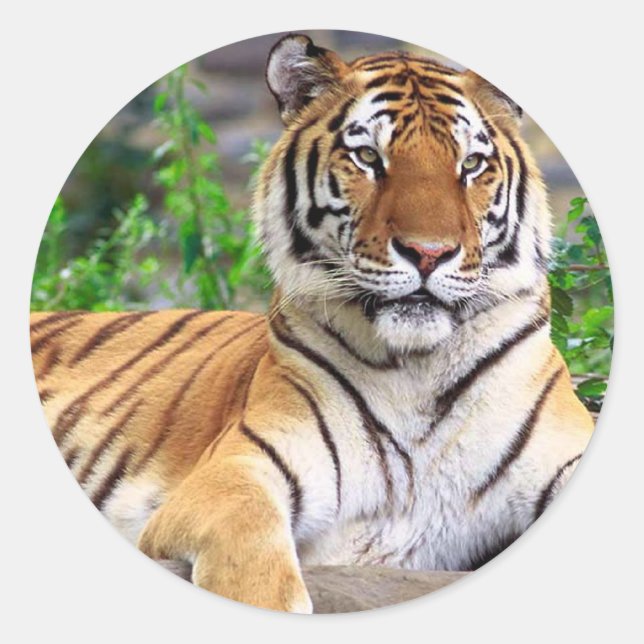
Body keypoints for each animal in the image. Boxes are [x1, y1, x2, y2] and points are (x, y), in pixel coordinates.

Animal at [31, 33, 596, 613]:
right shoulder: (238, 469)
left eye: (472, 164)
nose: (428, 253)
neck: (417, 367)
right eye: (368, 157)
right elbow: (253, 560)